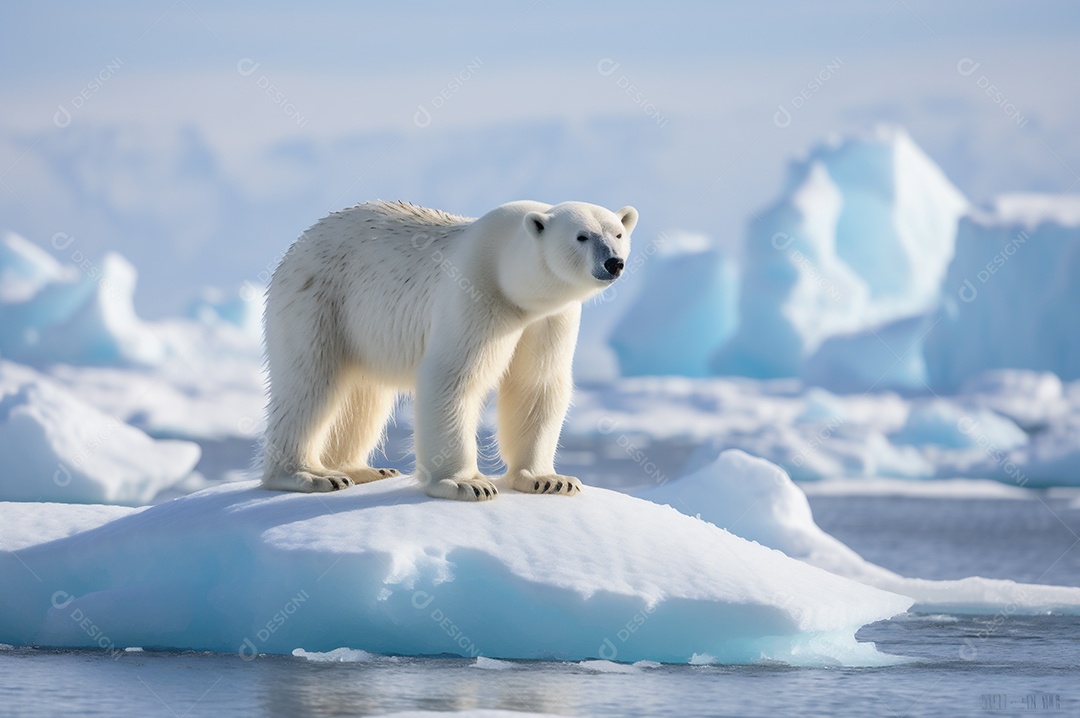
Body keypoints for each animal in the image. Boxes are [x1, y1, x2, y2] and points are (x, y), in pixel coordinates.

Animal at [260, 199, 637, 501]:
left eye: (617, 233)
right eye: (582, 236)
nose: (613, 263)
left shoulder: (550, 319)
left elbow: (537, 385)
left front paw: (549, 480)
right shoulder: (475, 293)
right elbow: (452, 378)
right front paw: (467, 484)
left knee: (363, 397)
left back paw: (361, 469)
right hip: (319, 301)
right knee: (310, 382)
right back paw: (309, 474)